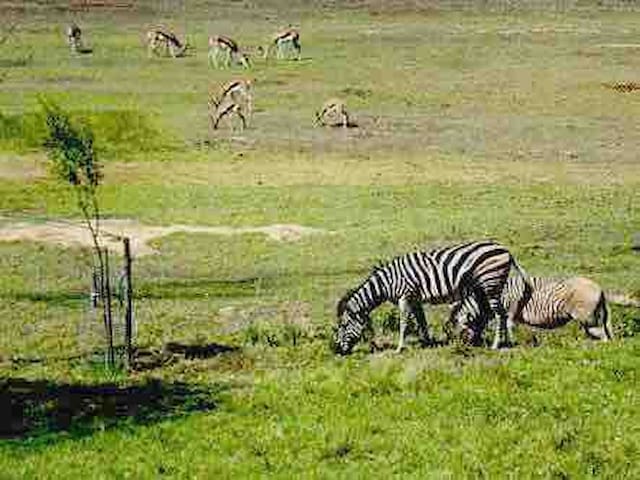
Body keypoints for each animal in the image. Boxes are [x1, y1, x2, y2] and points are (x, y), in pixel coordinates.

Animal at [332, 242, 528, 354]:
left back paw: (497, 345)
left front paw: (399, 348)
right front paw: (427, 343)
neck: (385, 283)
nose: (338, 351)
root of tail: (506, 251)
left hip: (490, 284)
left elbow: (404, 323)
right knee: (493, 314)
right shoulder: (414, 298)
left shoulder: (405, 296)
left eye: (343, 326)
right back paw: (494, 342)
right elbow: (421, 321)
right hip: (484, 288)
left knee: (500, 314)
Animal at [448, 274, 612, 344]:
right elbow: (501, 326)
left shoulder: (511, 307)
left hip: (587, 318)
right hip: (592, 318)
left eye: (460, 331)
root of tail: (599, 288)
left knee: (602, 335)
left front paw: (511, 343)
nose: (464, 346)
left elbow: (508, 325)